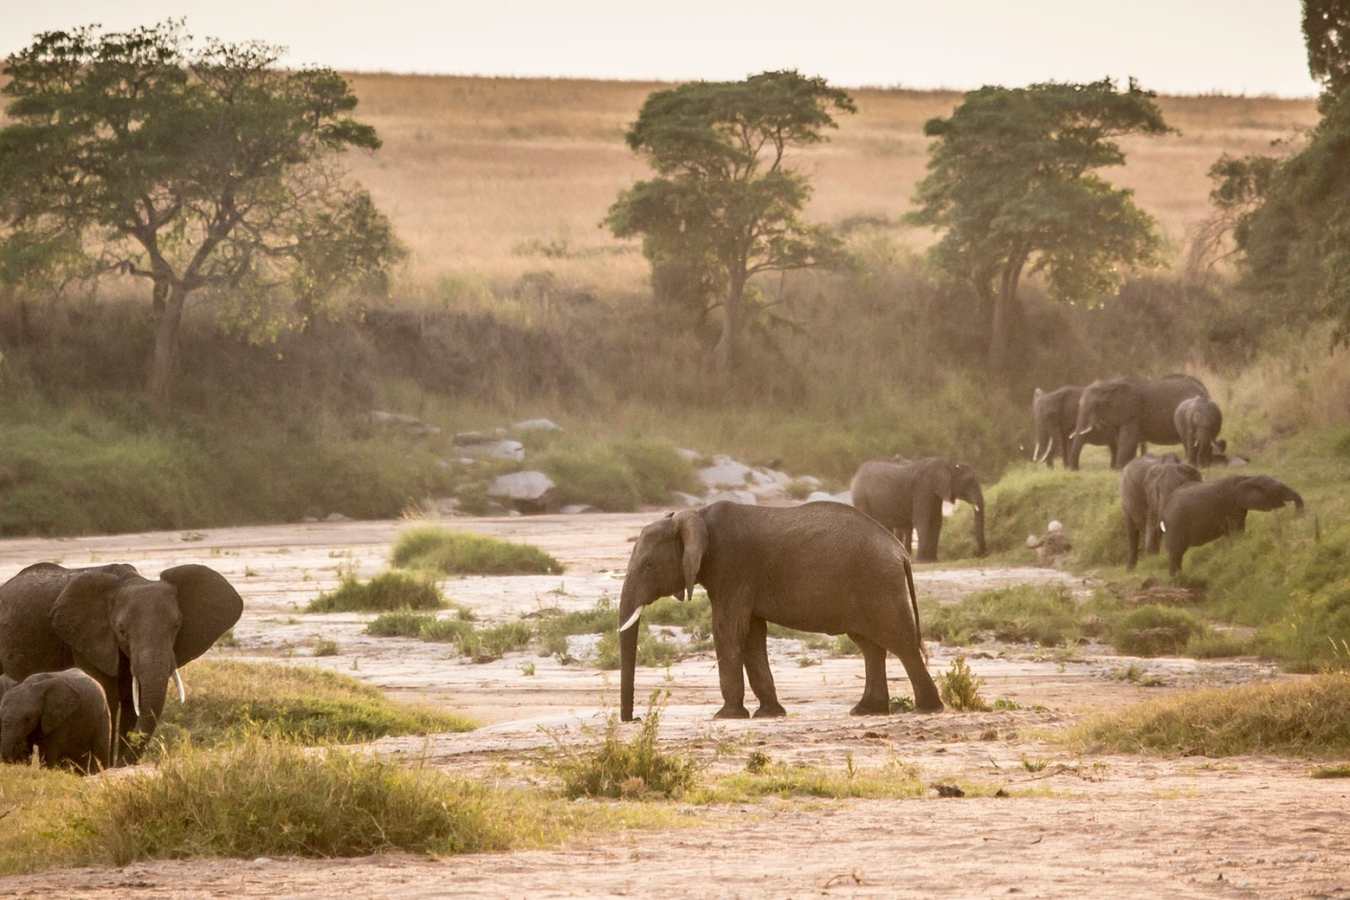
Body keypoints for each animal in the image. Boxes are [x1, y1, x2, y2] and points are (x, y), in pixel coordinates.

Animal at [0, 563, 242, 759]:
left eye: (176, 626)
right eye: (122, 631)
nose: (124, 761)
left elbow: (131, 700)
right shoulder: (86, 640)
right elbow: (111, 696)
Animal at [616, 502, 943, 722]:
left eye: (648, 566)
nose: (635, 719)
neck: (697, 517)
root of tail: (900, 551)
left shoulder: (733, 569)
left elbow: (728, 630)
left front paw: (726, 716)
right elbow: (751, 634)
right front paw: (769, 714)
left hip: (879, 582)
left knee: (901, 643)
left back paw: (928, 708)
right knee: (870, 646)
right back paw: (867, 710)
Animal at [850, 457, 986, 561]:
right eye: (969, 482)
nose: (978, 554)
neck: (948, 464)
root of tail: (857, 472)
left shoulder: (934, 493)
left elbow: (936, 522)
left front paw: (932, 560)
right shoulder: (923, 489)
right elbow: (923, 521)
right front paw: (922, 561)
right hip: (861, 497)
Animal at [1070, 374, 1209, 469]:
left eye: (1096, 405)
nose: (1075, 470)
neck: (1110, 383)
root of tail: (1203, 388)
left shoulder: (1132, 412)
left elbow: (1127, 441)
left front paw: (1119, 469)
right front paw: (1125, 467)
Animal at [1161, 475, 1304, 577]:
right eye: (1279, 490)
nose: (1297, 515)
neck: (1246, 478)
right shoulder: (1231, 506)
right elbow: (1236, 532)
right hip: (1176, 525)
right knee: (1176, 553)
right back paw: (1178, 579)